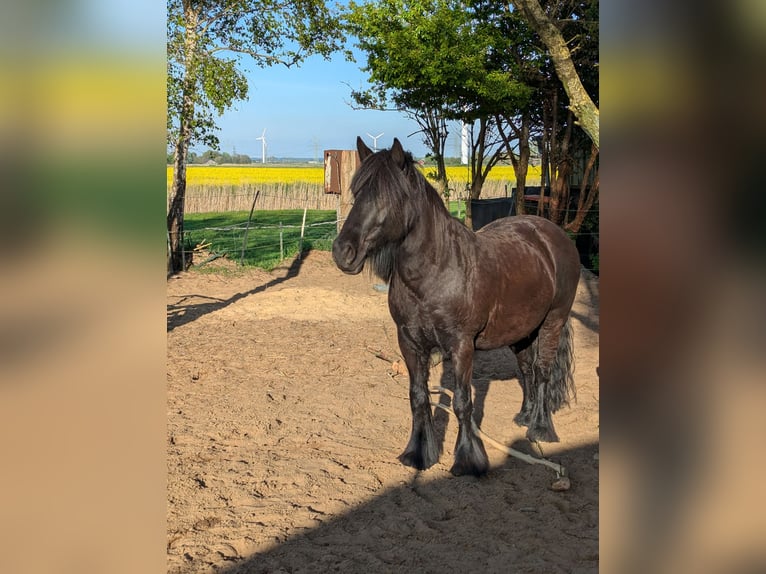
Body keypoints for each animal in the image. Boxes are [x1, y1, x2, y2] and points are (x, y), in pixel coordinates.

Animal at [332, 137, 581, 476]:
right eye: (357, 193)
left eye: (387, 197)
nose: (342, 252)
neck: (435, 273)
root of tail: (552, 234)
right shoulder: (409, 343)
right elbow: (418, 396)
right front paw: (419, 453)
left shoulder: (462, 345)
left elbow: (463, 401)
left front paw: (468, 460)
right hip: (521, 331)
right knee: (527, 370)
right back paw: (525, 416)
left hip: (553, 320)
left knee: (542, 371)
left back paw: (541, 428)